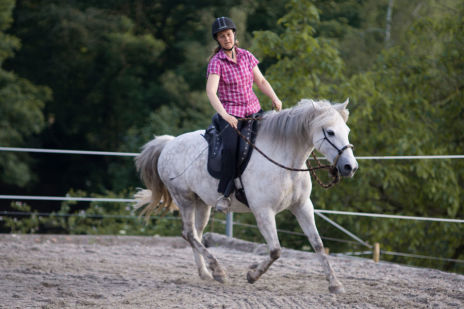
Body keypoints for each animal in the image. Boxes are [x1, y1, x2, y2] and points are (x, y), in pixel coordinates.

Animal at [134, 97, 358, 292]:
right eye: (330, 132)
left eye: (347, 131)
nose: (350, 167)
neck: (285, 161)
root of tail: (168, 144)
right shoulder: (263, 211)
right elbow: (275, 250)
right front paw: (252, 275)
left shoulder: (302, 206)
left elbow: (318, 244)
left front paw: (335, 284)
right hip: (184, 199)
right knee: (189, 234)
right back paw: (218, 271)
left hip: (202, 203)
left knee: (194, 234)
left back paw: (205, 272)